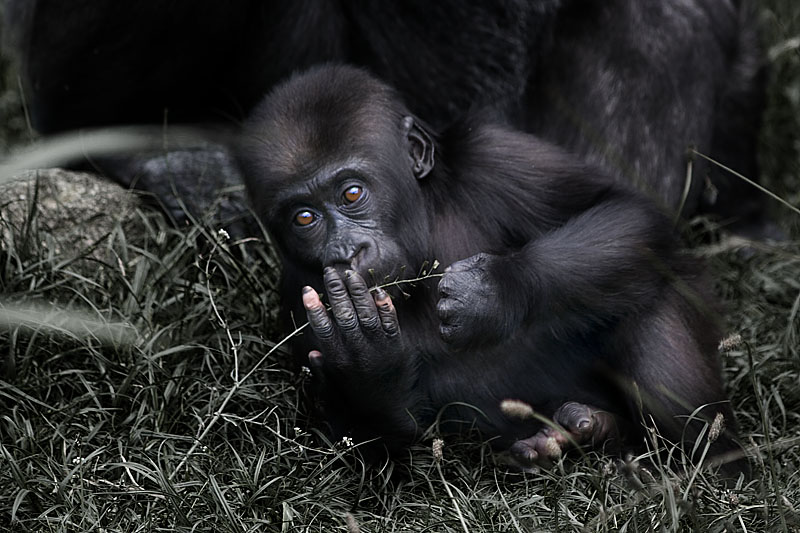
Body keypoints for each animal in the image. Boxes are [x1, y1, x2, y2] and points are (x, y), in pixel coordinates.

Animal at [238, 64, 744, 472]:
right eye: (305, 218)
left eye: (351, 193)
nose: (346, 251)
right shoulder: (296, 291)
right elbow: (375, 458)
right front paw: (369, 371)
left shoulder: (491, 154)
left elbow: (623, 210)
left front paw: (496, 291)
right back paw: (587, 432)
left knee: (651, 284)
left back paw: (712, 469)